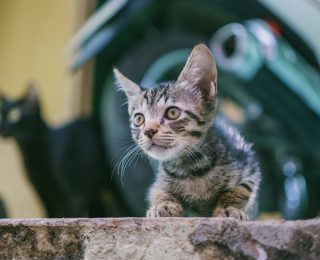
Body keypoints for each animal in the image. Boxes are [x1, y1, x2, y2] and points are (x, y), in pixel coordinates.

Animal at [0, 87, 126, 217]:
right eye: (0, 114)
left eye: (14, 115)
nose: (2, 125)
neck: (31, 153)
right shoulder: (43, 194)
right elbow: (50, 216)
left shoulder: (73, 196)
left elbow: (70, 215)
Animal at [114, 43, 260, 218]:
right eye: (139, 119)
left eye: (172, 113)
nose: (148, 131)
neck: (191, 169)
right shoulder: (159, 183)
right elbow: (158, 191)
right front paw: (163, 205)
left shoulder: (250, 169)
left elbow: (239, 190)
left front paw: (228, 208)